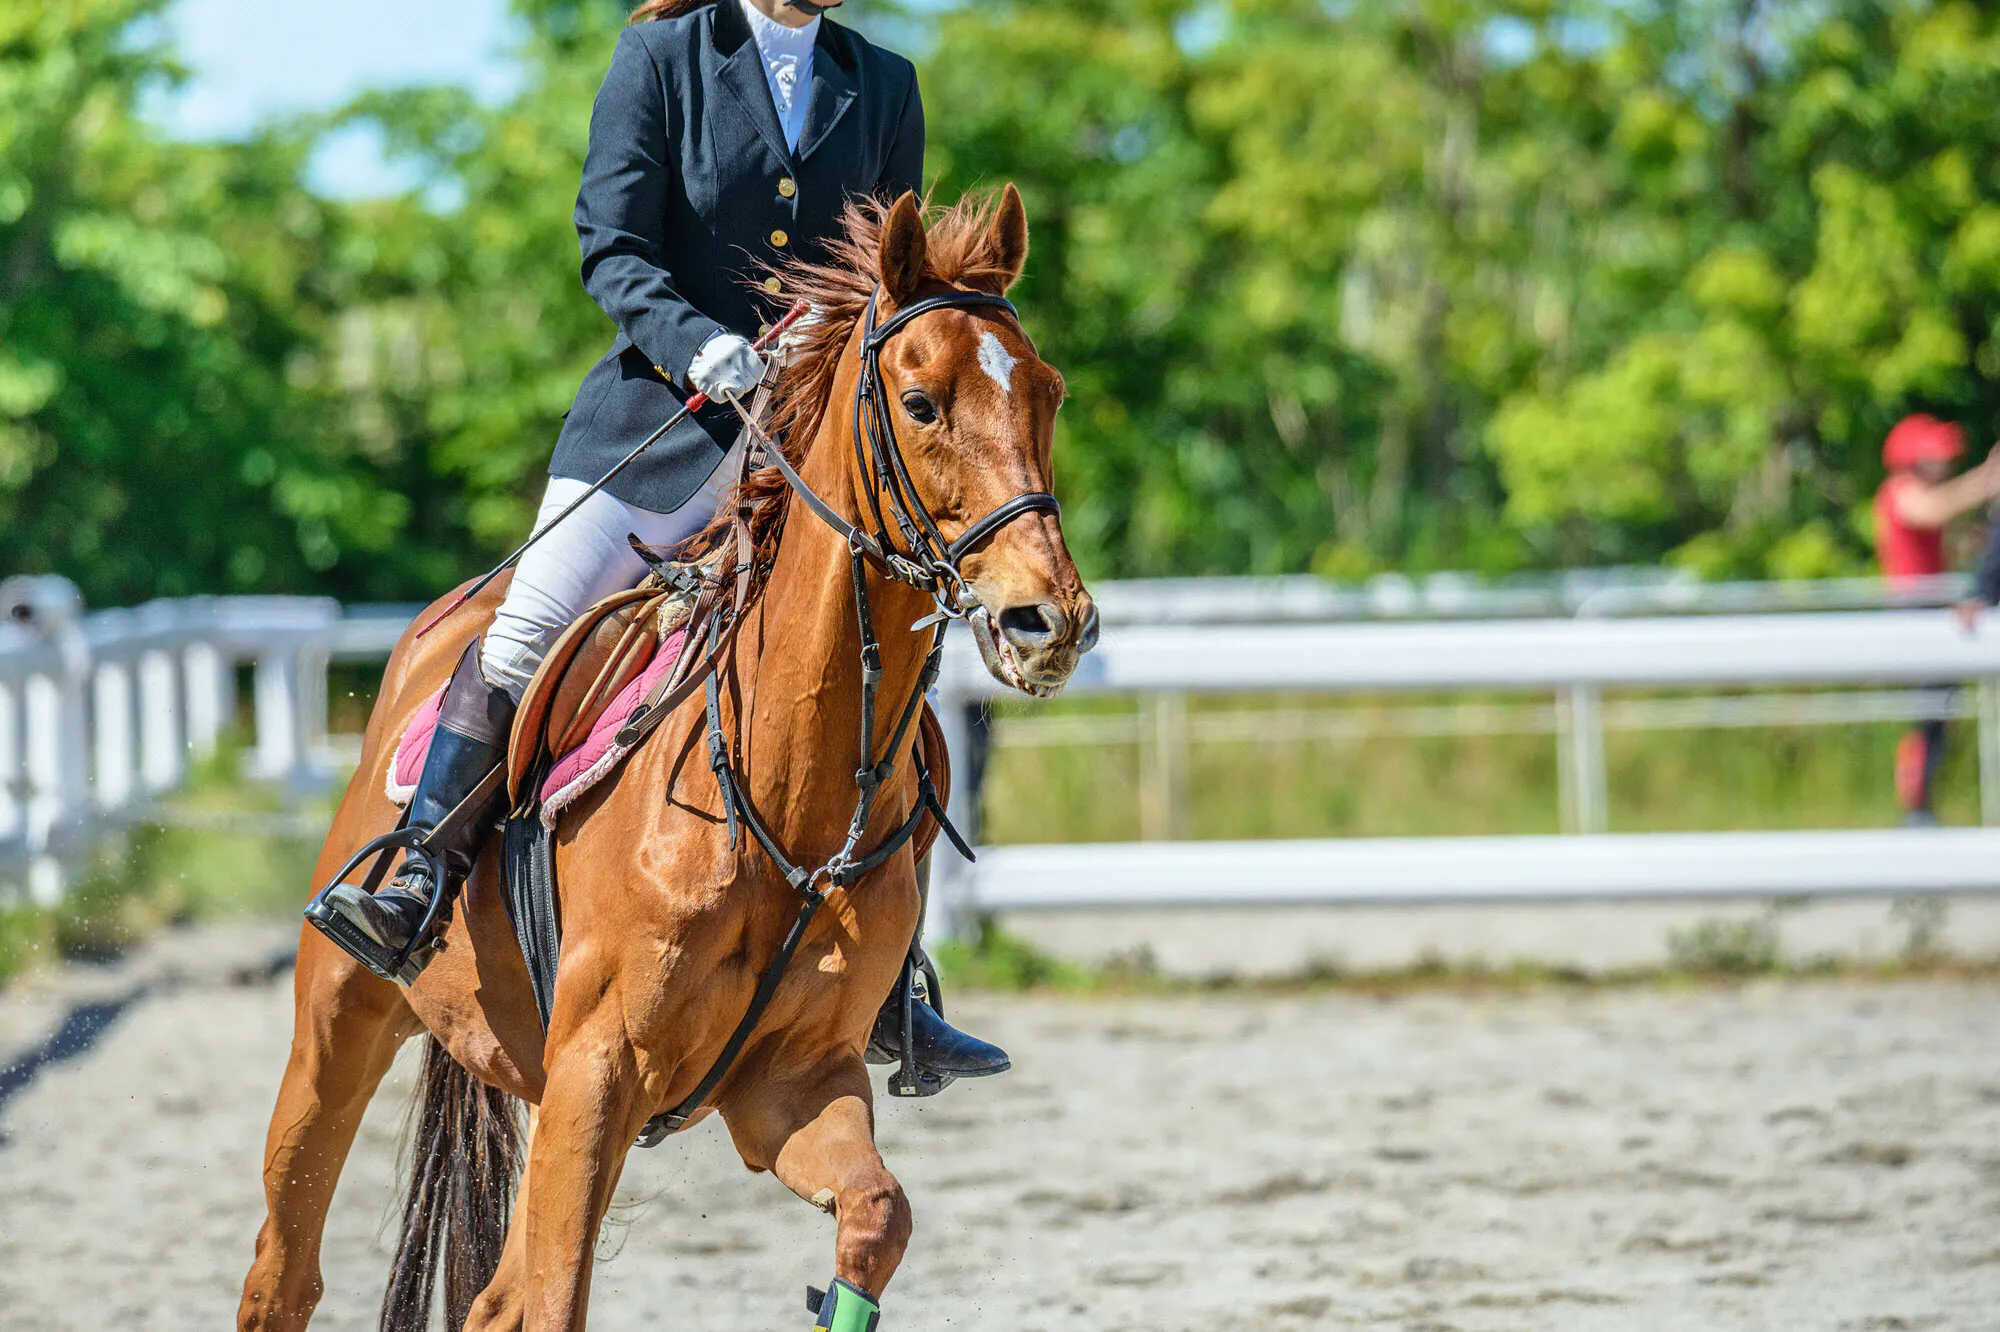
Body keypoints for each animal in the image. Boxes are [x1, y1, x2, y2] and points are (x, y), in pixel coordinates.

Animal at [236, 186, 1096, 1331]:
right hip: (340, 1027)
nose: (1051, 622)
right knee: (285, 1272)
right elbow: (557, 1300)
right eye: (919, 404)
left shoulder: (791, 1082)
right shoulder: (598, 1073)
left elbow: (875, 1222)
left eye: (1047, 394)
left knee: (490, 1302)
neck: (783, 795)